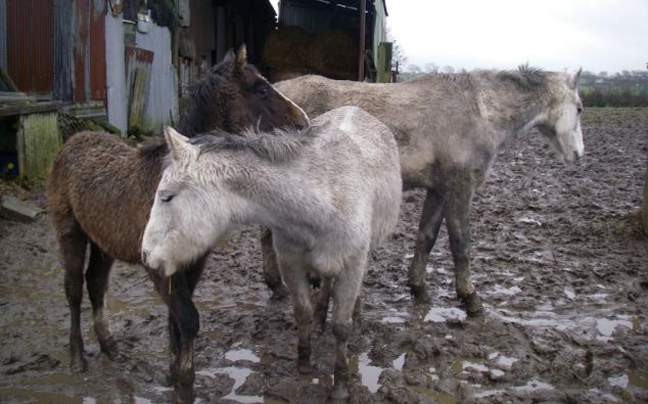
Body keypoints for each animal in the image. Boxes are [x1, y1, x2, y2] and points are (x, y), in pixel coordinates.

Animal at [46, 46, 308, 400]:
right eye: (262, 88)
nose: (304, 122)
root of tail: (73, 141)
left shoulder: (194, 262)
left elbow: (176, 320)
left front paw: (173, 374)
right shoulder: (158, 266)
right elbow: (187, 319)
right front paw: (185, 383)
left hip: (104, 241)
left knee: (96, 283)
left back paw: (110, 346)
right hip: (70, 231)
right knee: (73, 288)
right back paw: (77, 359)